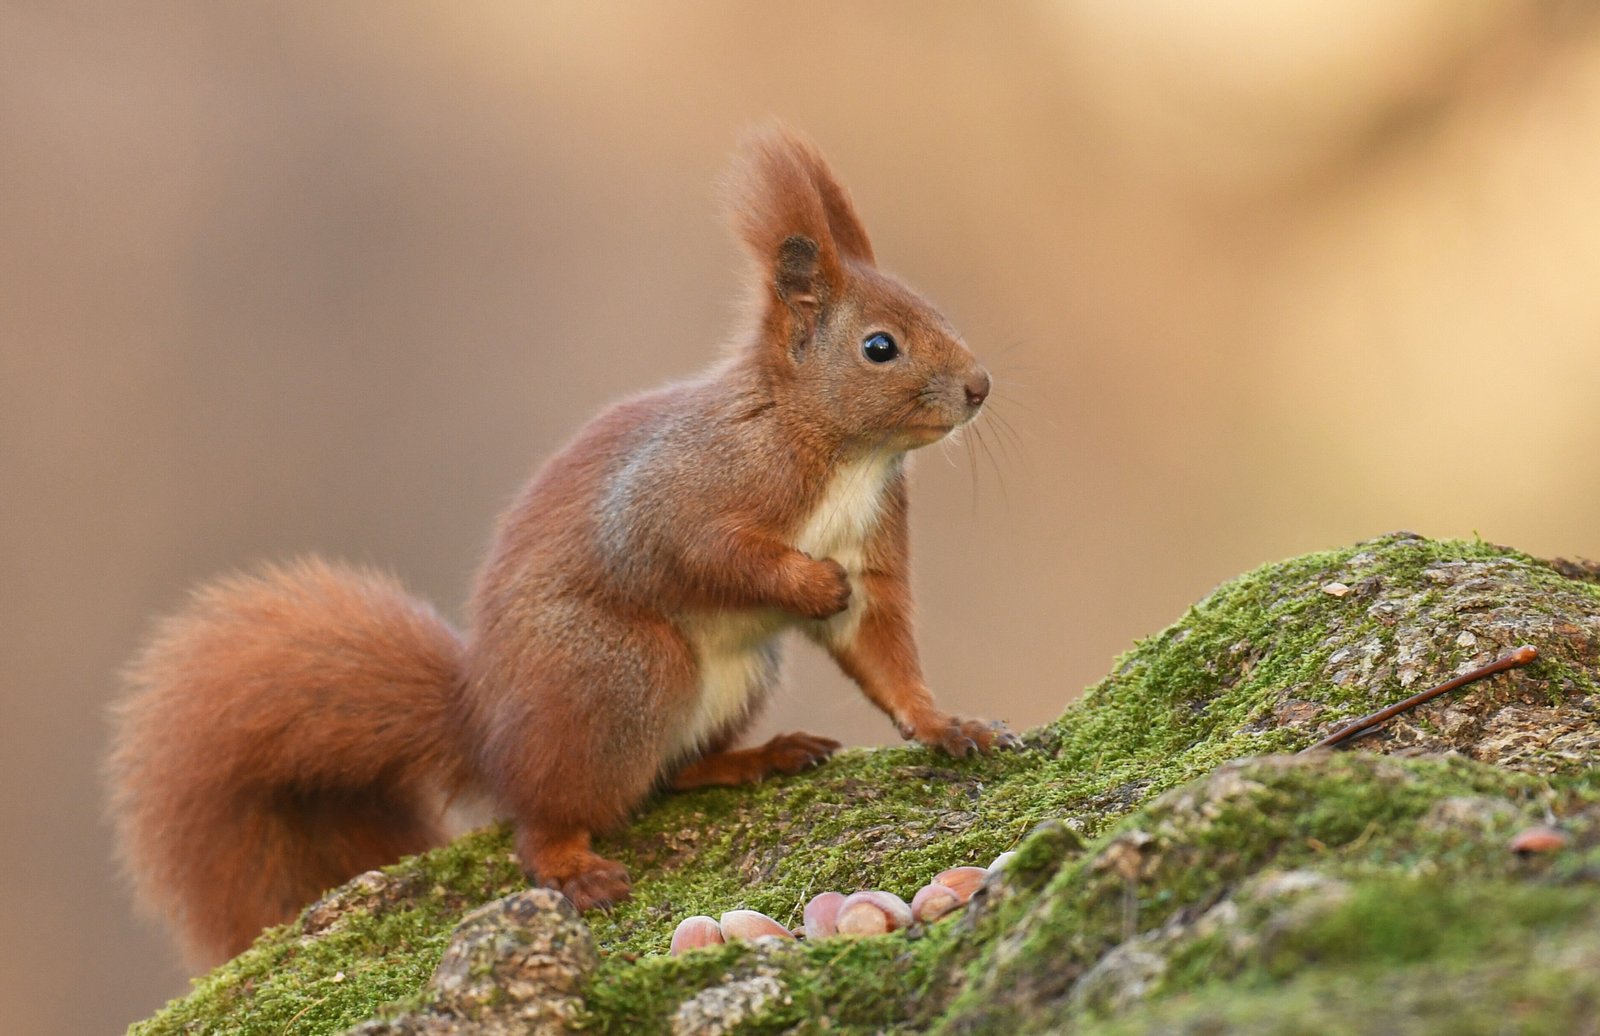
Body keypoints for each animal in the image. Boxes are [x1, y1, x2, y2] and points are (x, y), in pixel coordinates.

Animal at [109, 125, 1011, 965]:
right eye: (880, 346)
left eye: (935, 313)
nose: (979, 387)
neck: (837, 449)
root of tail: (484, 727)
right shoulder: (681, 493)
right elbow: (703, 553)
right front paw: (808, 583)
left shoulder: (874, 547)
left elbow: (882, 650)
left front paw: (946, 725)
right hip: (620, 671)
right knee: (546, 816)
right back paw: (575, 864)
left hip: (730, 678)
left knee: (666, 777)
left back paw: (759, 757)